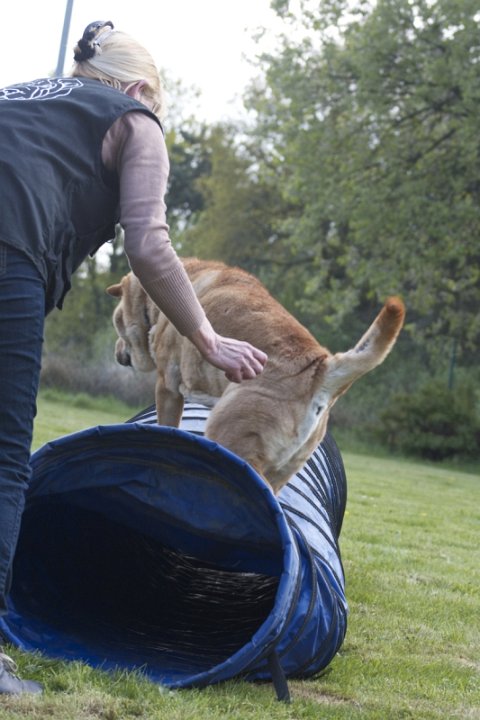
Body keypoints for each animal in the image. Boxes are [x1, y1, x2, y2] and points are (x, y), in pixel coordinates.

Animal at [107, 257, 405, 494]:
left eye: (117, 321)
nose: (117, 353)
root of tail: (321, 368)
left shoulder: (167, 385)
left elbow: (166, 424)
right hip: (287, 466)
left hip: (231, 436)